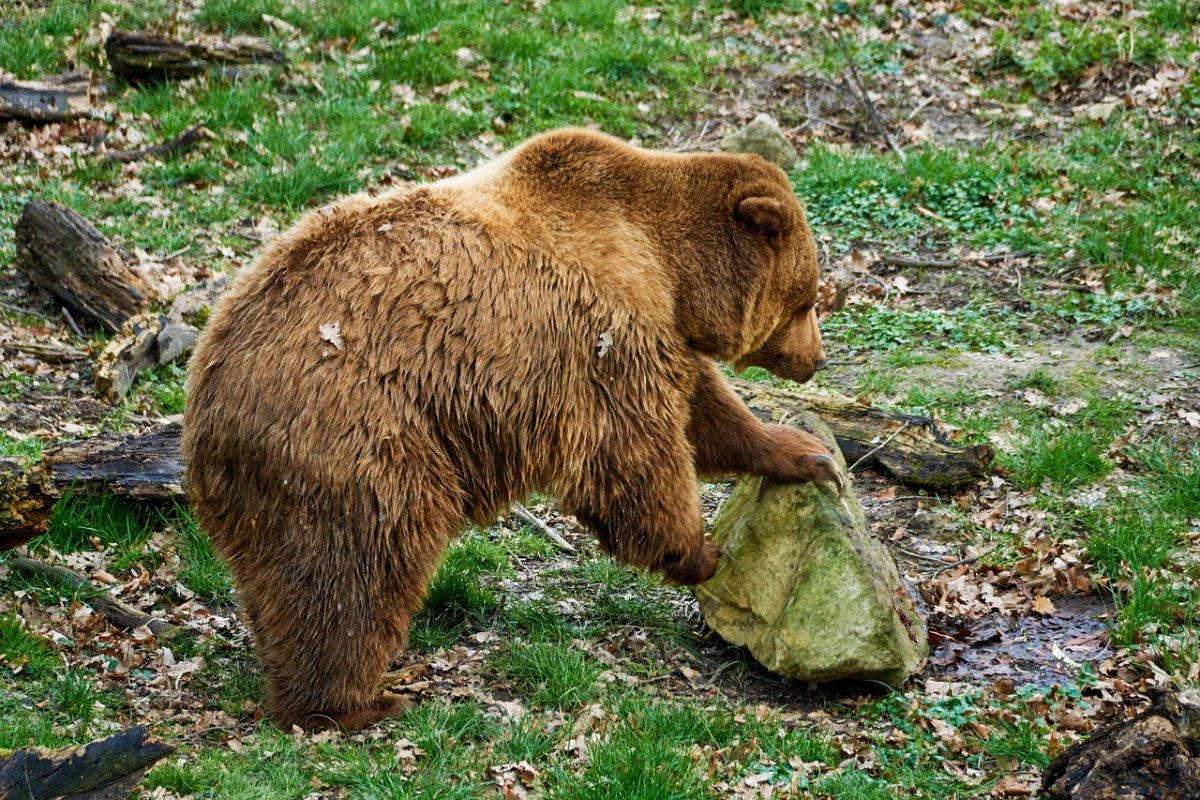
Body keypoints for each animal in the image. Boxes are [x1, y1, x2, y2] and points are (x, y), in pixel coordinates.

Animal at [182, 128, 839, 731]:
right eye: (808, 299)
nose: (816, 358)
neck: (669, 264)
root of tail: (206, 392)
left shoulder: (661, 331)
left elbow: (707, 411)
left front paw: (807, 454)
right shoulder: (604, 336)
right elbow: (638, 448)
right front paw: (700, 552)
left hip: (272, 486)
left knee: (288, 581)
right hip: (357, 435)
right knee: (360, 567)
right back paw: (358, 703)